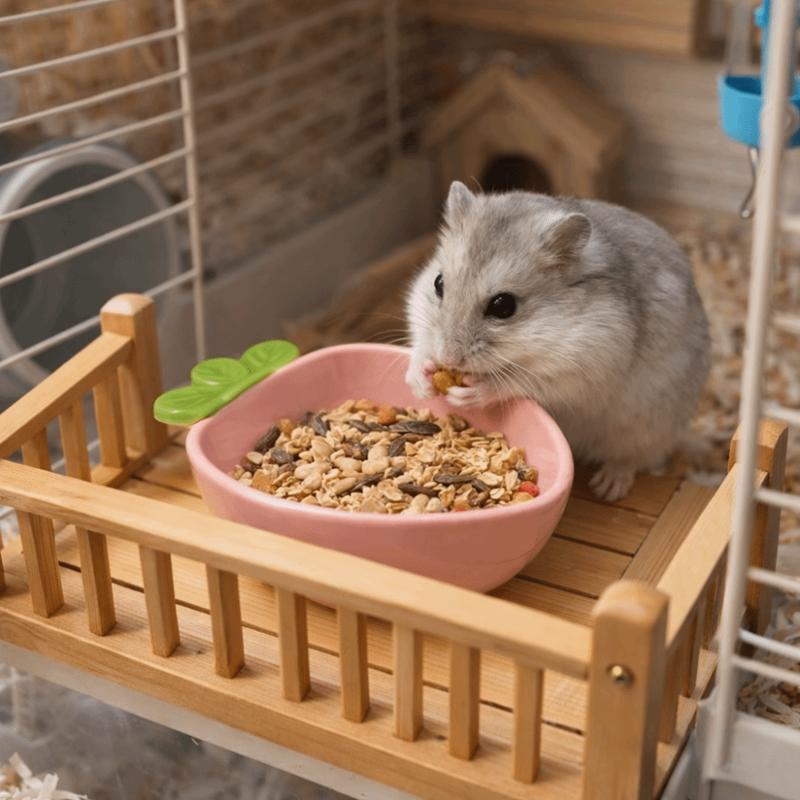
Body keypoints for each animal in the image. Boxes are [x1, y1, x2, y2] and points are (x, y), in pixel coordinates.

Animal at [405, 181, 710, 502]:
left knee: (634, 459)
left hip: (647, 429)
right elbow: (421, 344)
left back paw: (607, 487)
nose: (448, 358)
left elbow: (515, 382)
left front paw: (468, 393)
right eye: (438, 283)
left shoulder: (579, 365)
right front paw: (421, 380)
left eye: (504, 306)